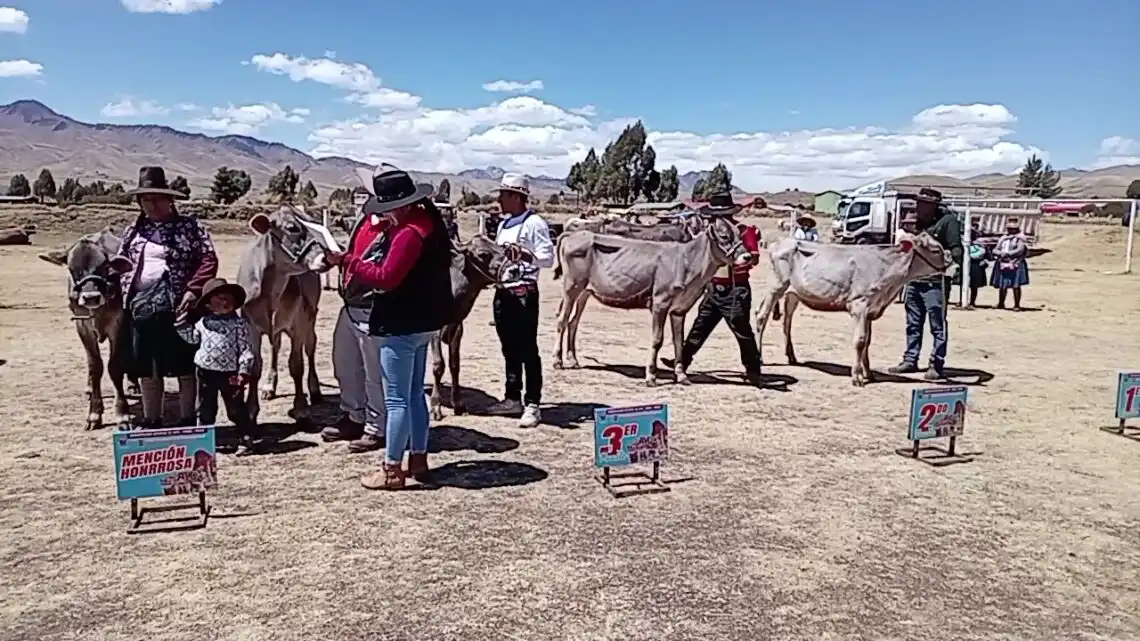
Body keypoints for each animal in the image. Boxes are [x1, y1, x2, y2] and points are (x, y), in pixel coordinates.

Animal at [38, 227, 139, 429]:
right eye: (72, 269)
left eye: (104, 267)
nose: (91, 297)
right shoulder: (82, 325)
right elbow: (95, 364)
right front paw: (94, 413)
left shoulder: (118, 324)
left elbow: (115, 365)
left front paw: (122, 413)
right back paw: (89, 387)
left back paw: (133, 385)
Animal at [236, 206, 335, 426]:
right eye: (292, 228)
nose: (327, 258)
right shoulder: (251, 327)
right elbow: (255, 367)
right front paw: (251, 410)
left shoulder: (297, 324)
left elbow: (296, 365)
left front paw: (301, 409)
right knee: (275, 348)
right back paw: (269, 386)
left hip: (310, 317)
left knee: (310, 347)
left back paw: (315, 390)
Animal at [429, 234, 509, 420]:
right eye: (483, 254)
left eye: (501, 248)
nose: (512, 269)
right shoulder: (434, 330)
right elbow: (438, 365)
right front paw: (435, 406)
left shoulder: (457, 327)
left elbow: (454, 364)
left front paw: (458, 404)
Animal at [552, 216, 751, 386]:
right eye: (724, 236)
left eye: (739, 234)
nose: (747, 257)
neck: (686, 261)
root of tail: (575, 234)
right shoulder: (659, 303)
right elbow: (657, 339)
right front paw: (651, 376)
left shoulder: (680, 309)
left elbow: (679, 341)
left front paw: (681, 375)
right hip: (571, 287)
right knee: (562, 320)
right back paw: (557, 360)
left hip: (585, 291)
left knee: (573, 321)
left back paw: (573, 359)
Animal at [752, 231, 952, 387]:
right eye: (936, 250)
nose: (952, 264)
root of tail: (781, 241)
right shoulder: (859, 305)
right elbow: (860, 340)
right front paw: (857, 377)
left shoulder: (871, 310)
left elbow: (867, 342)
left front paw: (868, 373)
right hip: (776, 286)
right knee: (761, 316)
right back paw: (759, 358)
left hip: (793, 294)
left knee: (787, 321)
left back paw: (791, 356)